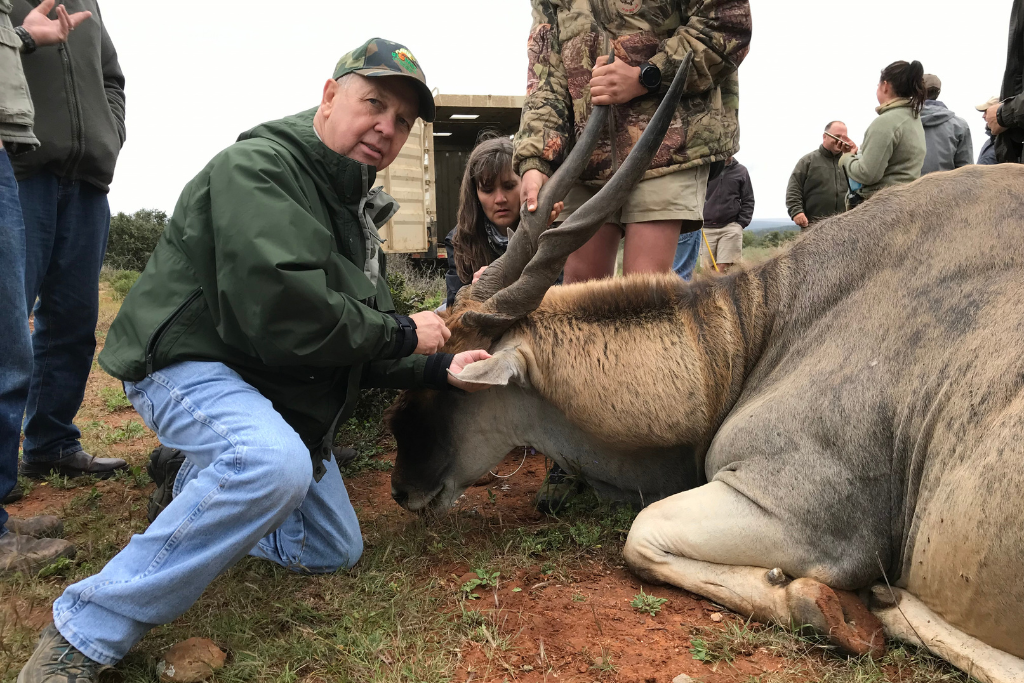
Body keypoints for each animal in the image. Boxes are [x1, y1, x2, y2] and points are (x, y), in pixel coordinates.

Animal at [385, 57, 1024, 683]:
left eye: (450, 386)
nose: (402, 489)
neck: (761, 335)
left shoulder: (811, 523)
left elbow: (641, 536)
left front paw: (828, 607)